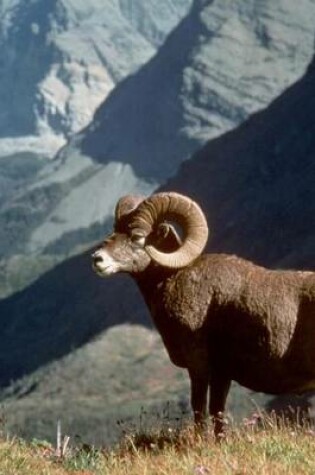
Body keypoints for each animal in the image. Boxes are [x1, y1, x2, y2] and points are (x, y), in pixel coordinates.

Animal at [92, 192, 315, 436]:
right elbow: (217, 412)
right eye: (114, 230)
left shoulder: (199, 366)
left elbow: (199, 408)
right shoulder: (221, 374)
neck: (174, 278)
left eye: (137, 236)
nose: (97, 259)